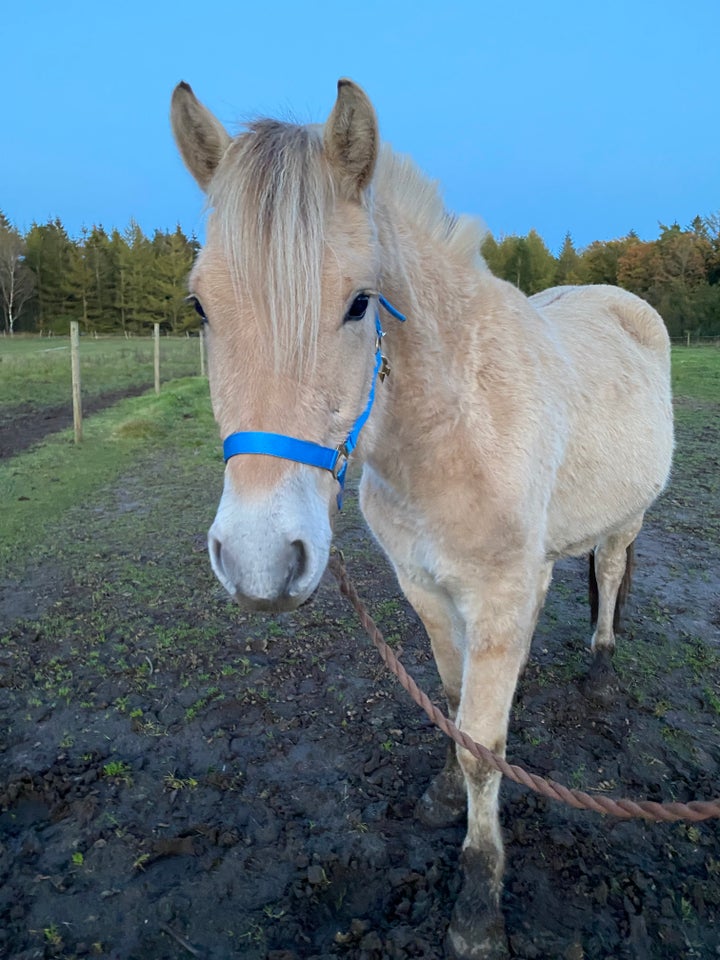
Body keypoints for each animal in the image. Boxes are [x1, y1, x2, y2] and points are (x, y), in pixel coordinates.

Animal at [170, 77, 676, 960]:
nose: (261, 560)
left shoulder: (501, 596)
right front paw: (444, 793)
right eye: (200, 306)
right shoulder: (425, 587)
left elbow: (486, 749)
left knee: (612, 574)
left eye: (360, 303)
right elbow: (453, 702)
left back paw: (603, 664)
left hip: (627, 518)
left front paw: (477, 904)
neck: (452, 428)